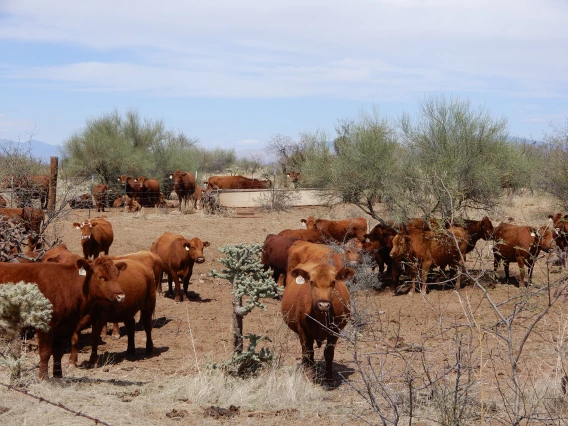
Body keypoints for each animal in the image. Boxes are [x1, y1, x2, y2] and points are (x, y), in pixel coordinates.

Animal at [280, 240, 352, 382]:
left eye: (333, 282)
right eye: (312, 282)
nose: (323, 304)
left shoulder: (335, 331)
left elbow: (329, 353)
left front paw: (329, 378)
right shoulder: (303, 330)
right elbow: (308, 353)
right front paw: (308, 375)